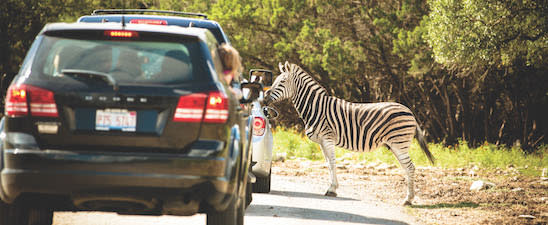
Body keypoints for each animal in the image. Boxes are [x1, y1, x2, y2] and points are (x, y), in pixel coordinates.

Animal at [264, 61, 434, 206]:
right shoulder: (321, 142)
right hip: (396, 145)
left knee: (410, 167)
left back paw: (408, 200)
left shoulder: (327, 138)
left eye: (282, 82)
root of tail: (410, 112)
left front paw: (332, 189)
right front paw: (332, 188)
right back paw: (408, 198)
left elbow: (333, 163)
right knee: (407, 167)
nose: (265, 99)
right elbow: (328, 164)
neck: (316, 108)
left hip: (399, 143)